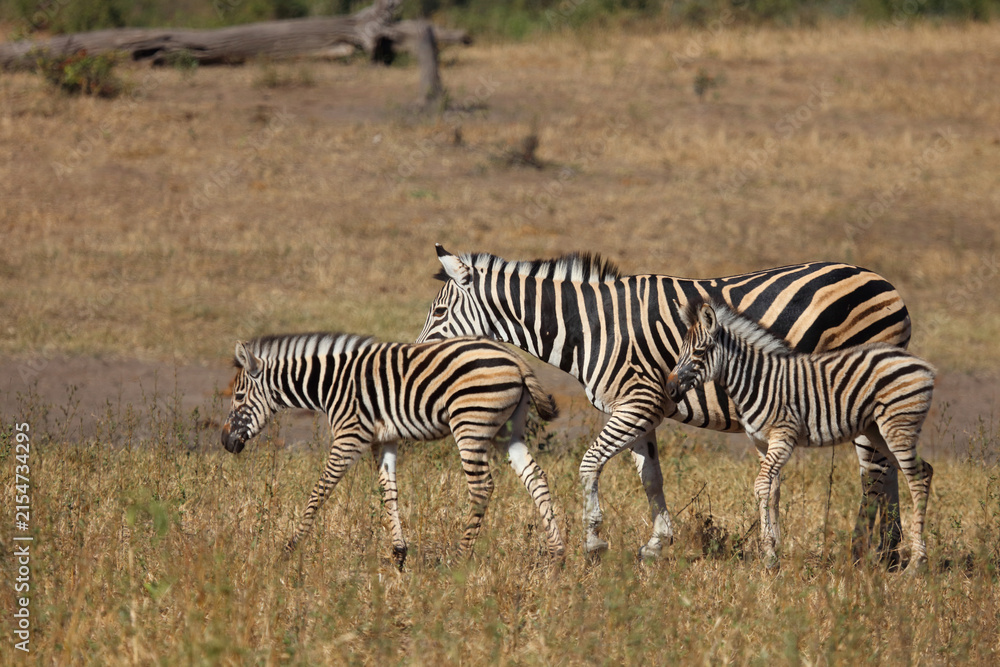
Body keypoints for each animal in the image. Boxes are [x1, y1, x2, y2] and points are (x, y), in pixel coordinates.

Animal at [221, 332, 565, 563]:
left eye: (238, 397)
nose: (225, 442)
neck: (330, 384)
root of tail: (514, 357)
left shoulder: (350, 435)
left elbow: (321, 488)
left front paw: (290, 547)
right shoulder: (382, 438)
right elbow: (389, 490)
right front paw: (399, 552)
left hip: (470, 423)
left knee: (482, 486)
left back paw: (460, 557)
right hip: (509, 429)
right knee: (536, 477)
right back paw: (557, 554)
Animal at [416, 244, 912, 562]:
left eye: (439, 313)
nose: (418, 357)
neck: (591, 327)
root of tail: (886, 284)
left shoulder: (637, 401)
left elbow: (589, 464)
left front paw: (594, 541)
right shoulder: (642, 408)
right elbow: (651, 478)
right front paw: (657, 544)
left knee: (874, 474)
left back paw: (862, 555)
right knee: (886, 470)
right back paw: (887, 555)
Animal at [665, 299, 935, 572]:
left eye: (699, 352)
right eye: (680, 351)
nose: (670, 388)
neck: (755, 380)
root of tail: (922, 365)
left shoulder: (783, 437)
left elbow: (761, 486)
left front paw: (769, 555)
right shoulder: (761, 442)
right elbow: (771, 490)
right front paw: (772, 550)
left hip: (898, 426)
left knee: (916, 478)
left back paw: (916, 563)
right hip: (878, 430)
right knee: (924, 471)